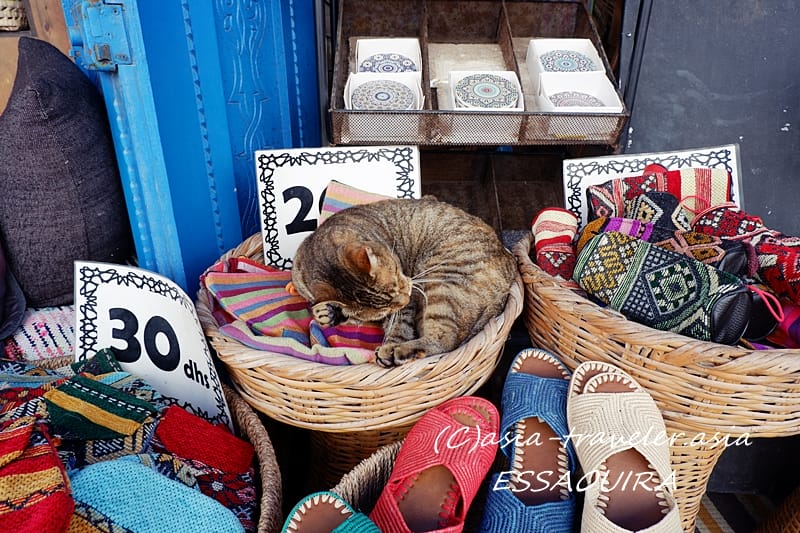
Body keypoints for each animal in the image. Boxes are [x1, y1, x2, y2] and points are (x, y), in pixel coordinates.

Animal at [291, 196, 517, 367]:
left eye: (399, 278)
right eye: (382, 310)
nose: (405, 299)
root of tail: (509, 261)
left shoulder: (409, 302)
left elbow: (400, 327)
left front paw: (390, 346)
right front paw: (328, 313)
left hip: (443, 284)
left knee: (445, 339)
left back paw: (401, 351)